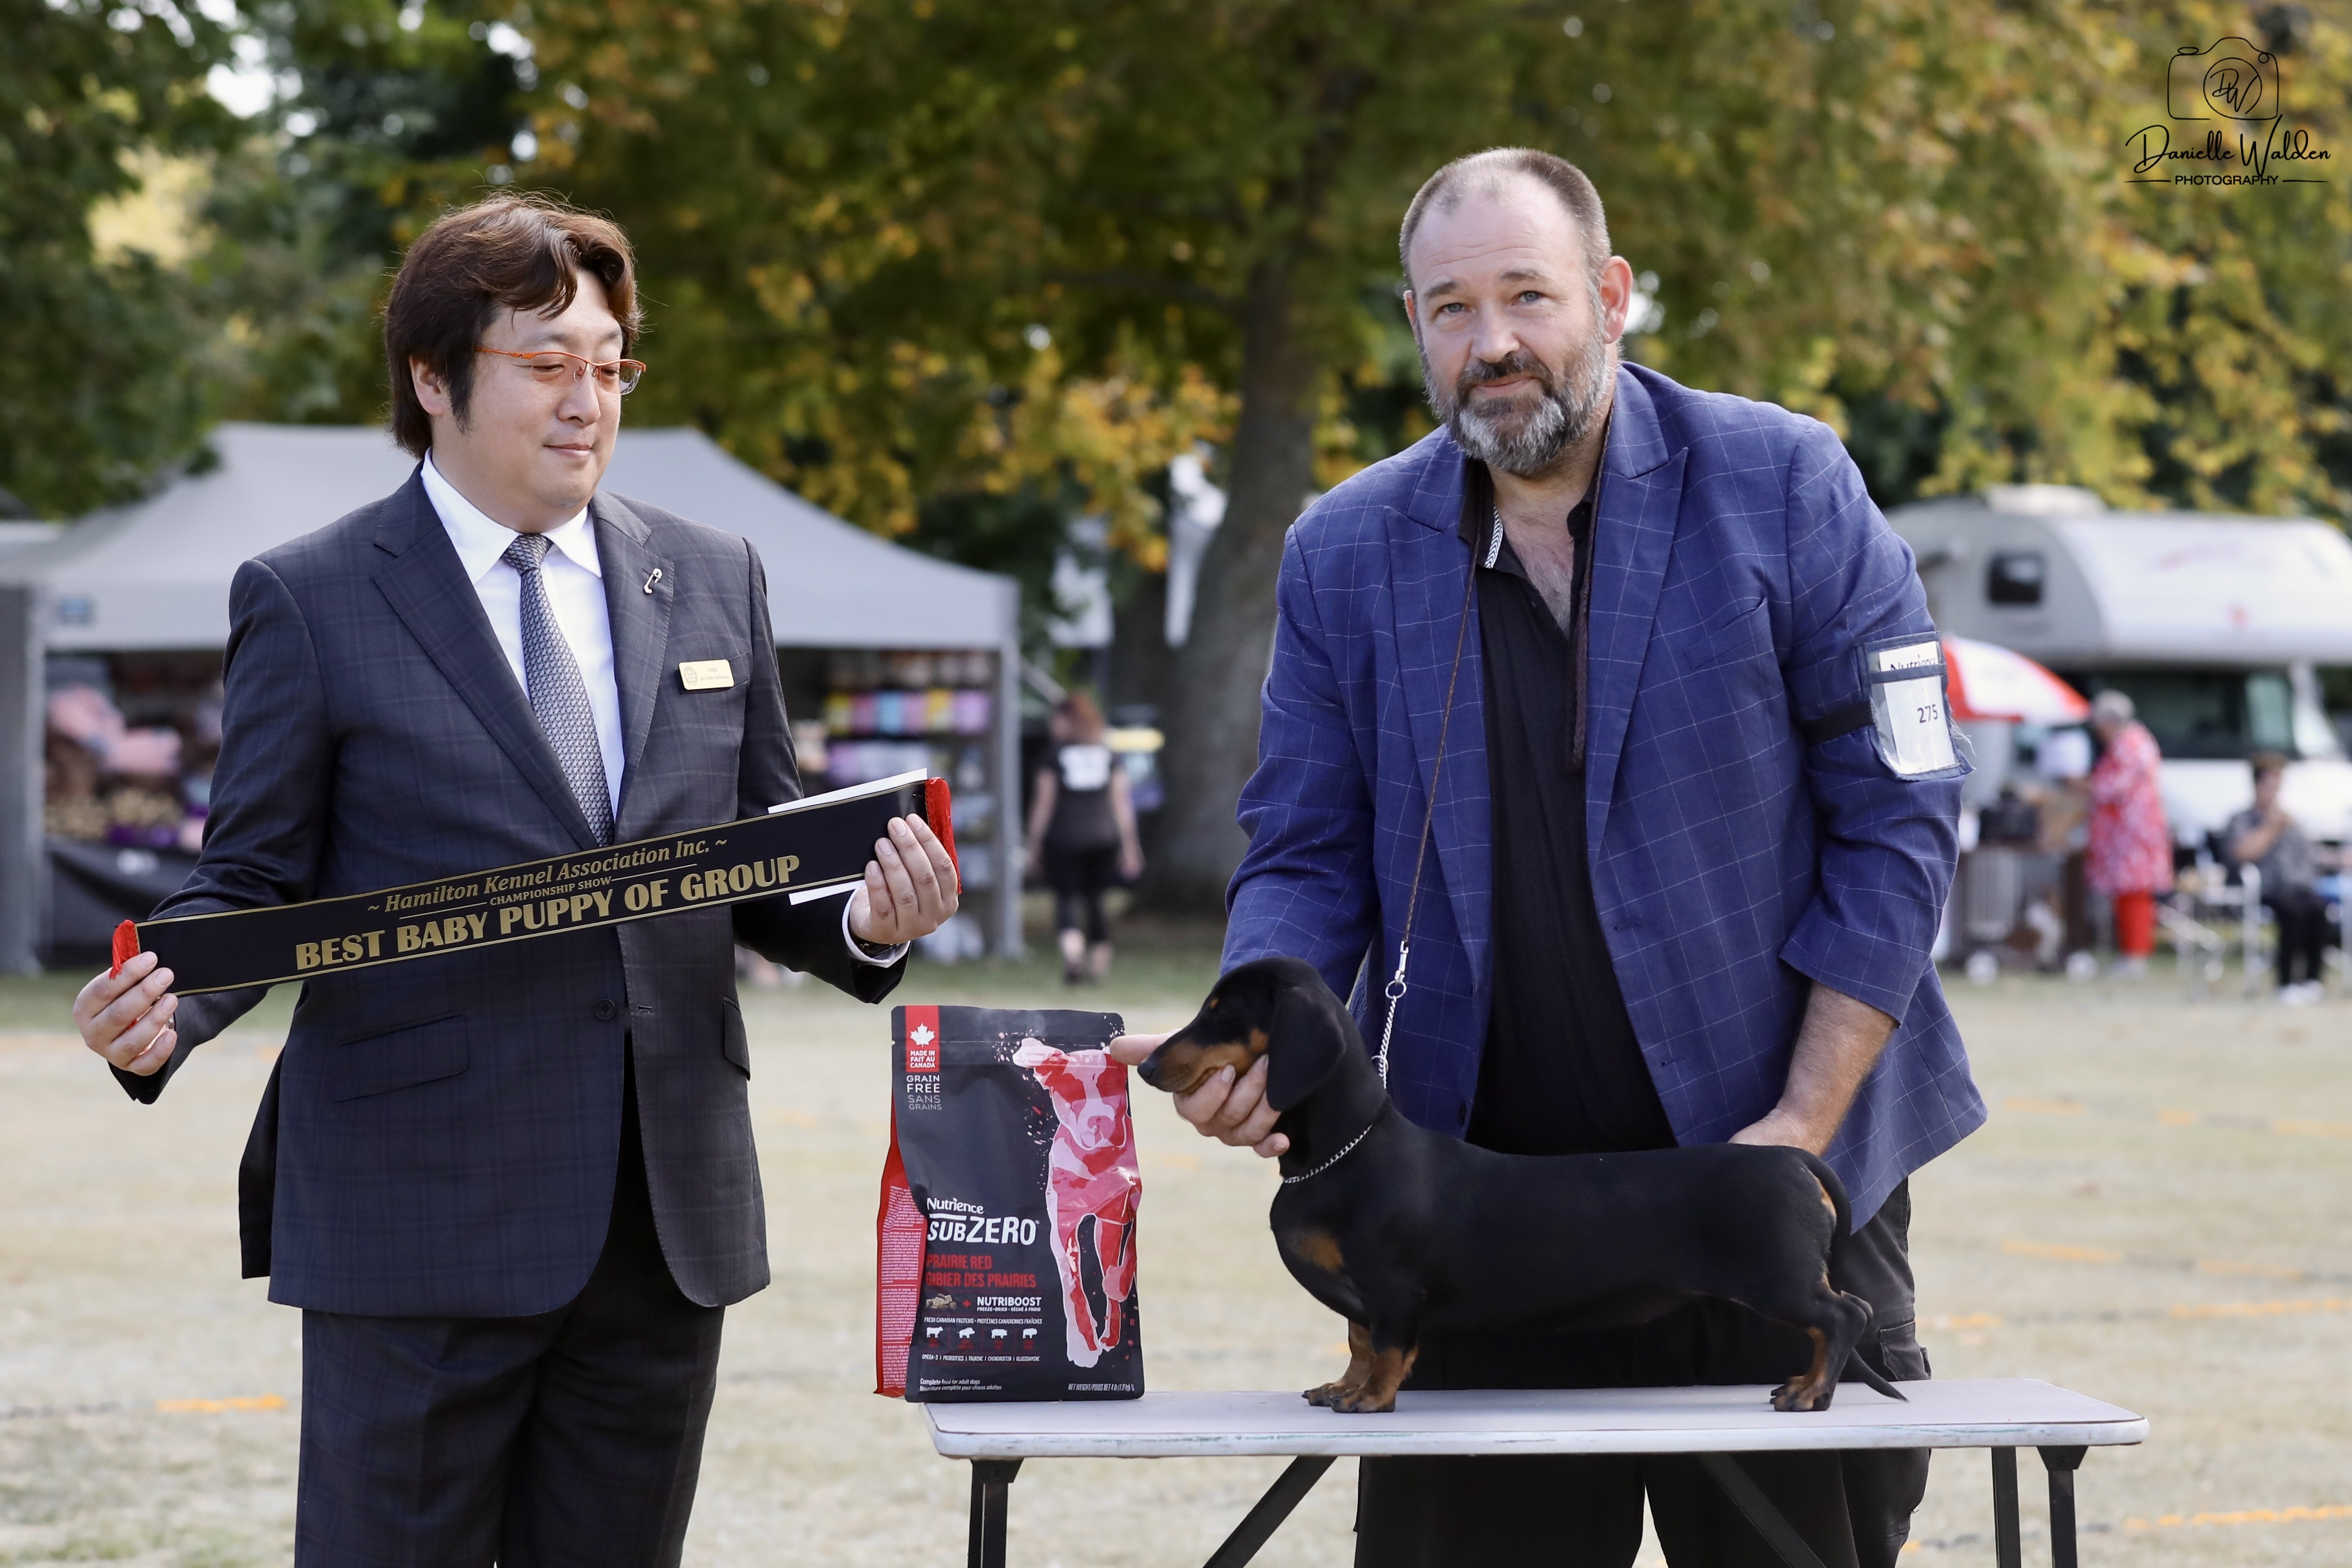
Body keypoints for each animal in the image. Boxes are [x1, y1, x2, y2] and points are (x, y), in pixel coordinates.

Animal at [1136, 956, 1909, 1416]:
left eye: (1219, 1010)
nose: (1142, 1066)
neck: (1343, 1153)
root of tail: (1790, 1158)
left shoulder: (1392, 1290)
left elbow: (1384, 1348)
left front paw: (1371, 1398)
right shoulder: (1362, 1297)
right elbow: (1356, 1341)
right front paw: (1343, 1387)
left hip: (1777, 1279)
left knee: (1844, 1314)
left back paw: (1810, 1390)